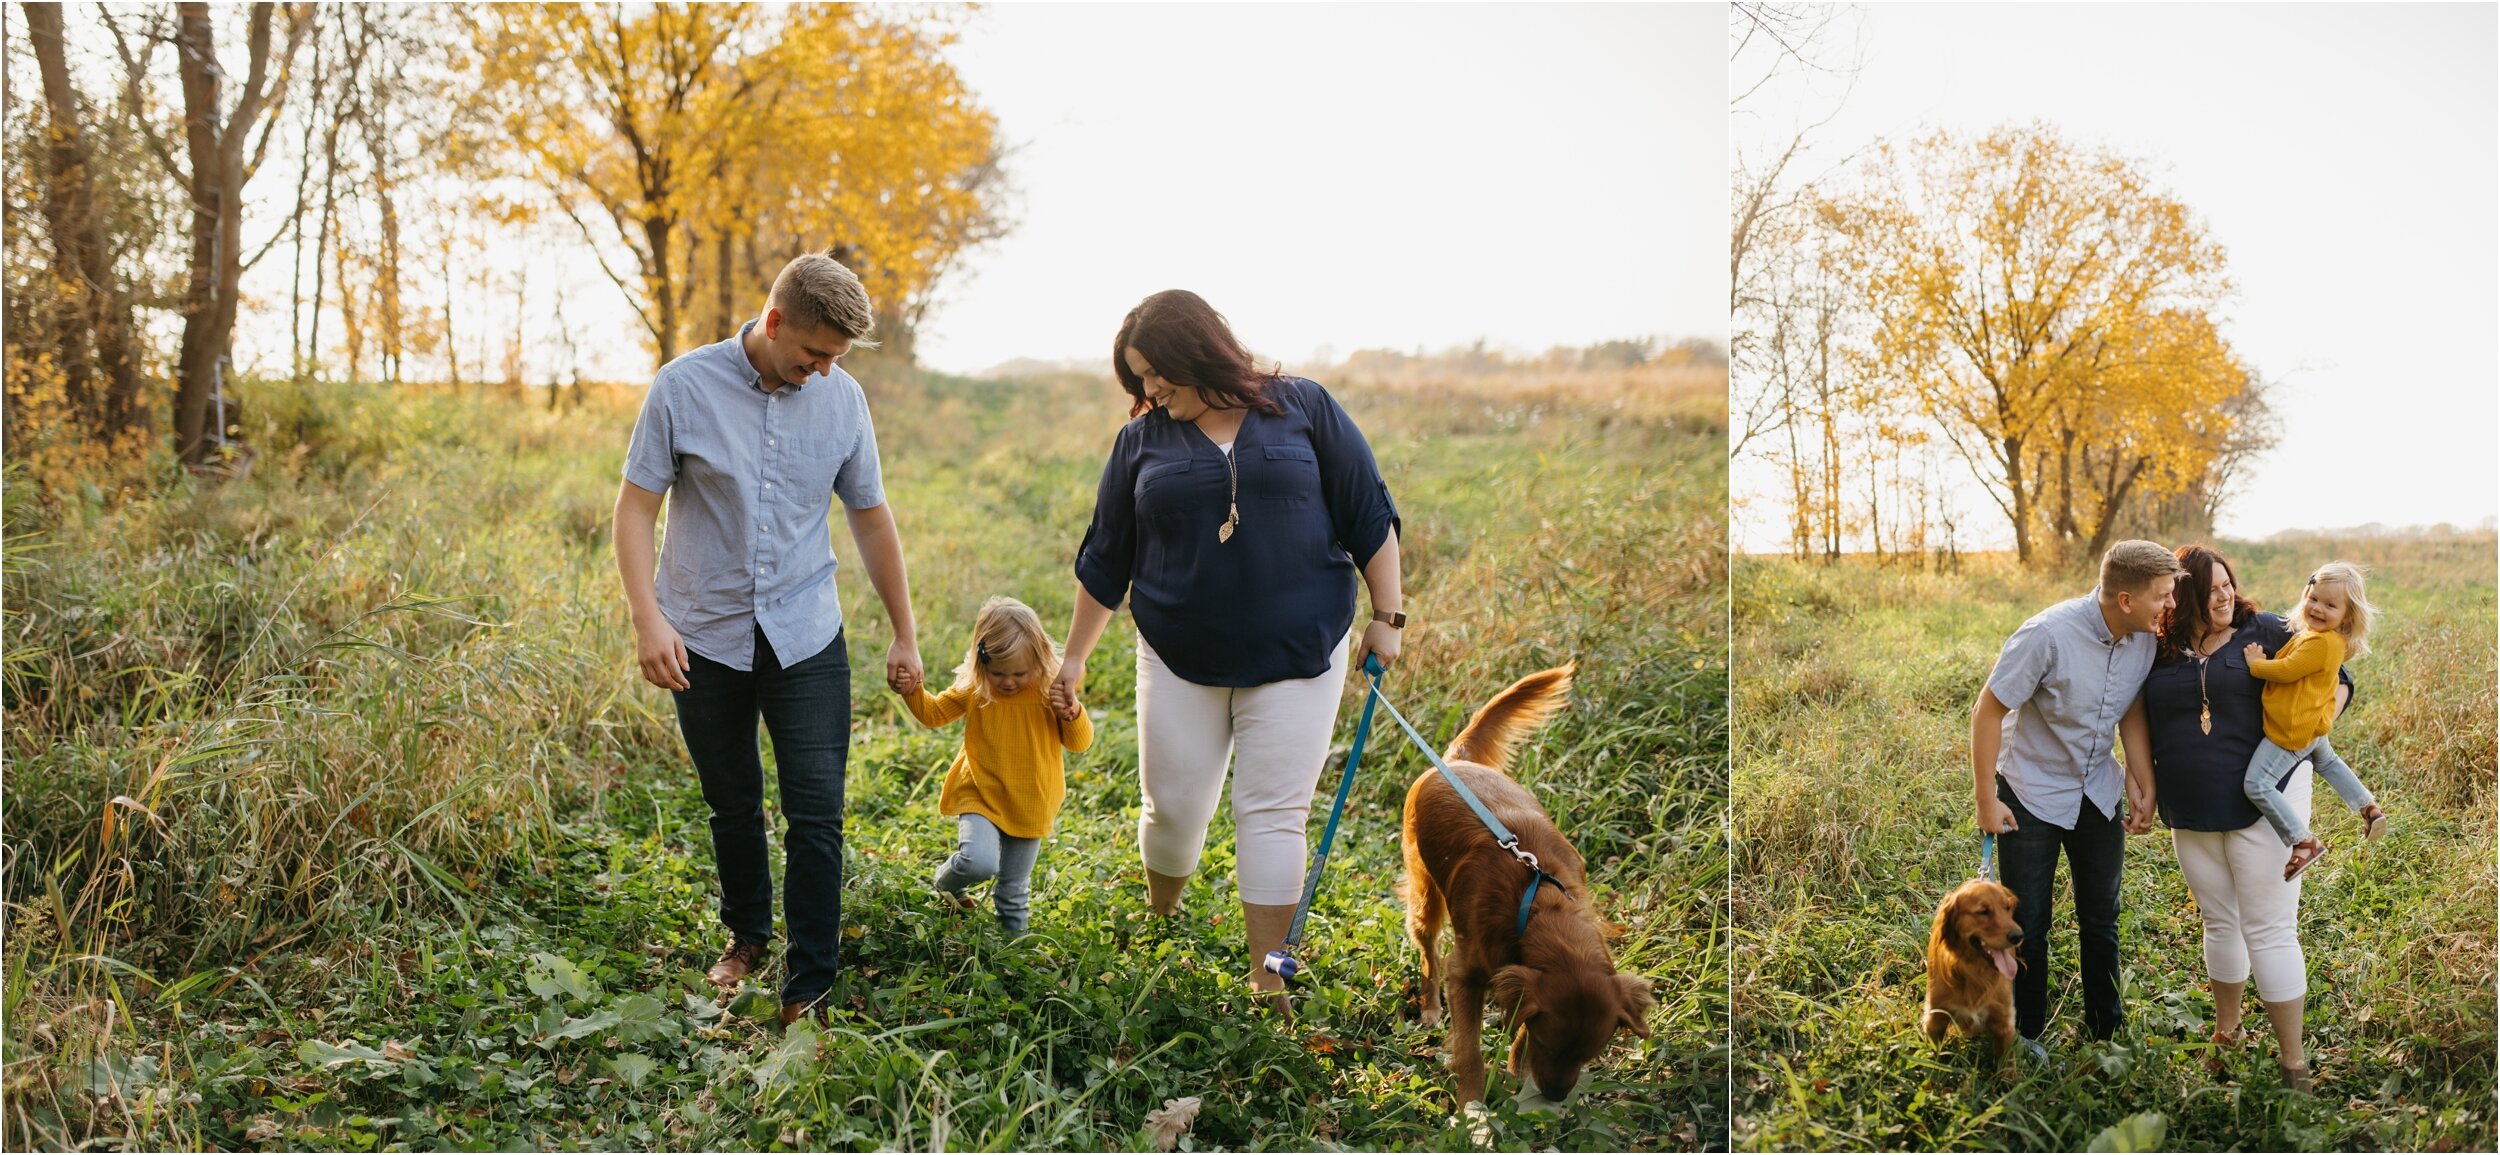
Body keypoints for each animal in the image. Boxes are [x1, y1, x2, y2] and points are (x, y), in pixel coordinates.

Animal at [1410, 670, 1660, 1110]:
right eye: (1552, 1046)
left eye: (1589, 1054)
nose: (1556, 1096)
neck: (1538, 905)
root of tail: (1457, 761)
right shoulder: (1464, 976)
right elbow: (1470, 1050)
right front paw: (1472, 1108)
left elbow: (1521, 1018)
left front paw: (1515, 1067)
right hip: (1425, 892)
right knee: (1427, 948)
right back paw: (1429, 1007)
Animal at [1920, 885, 2020, 1065]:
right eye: (1983, 911)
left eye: (2007, 908)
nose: (2018, 936)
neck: (1974, 971)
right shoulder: (1936, 1017)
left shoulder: (2004, 1022)